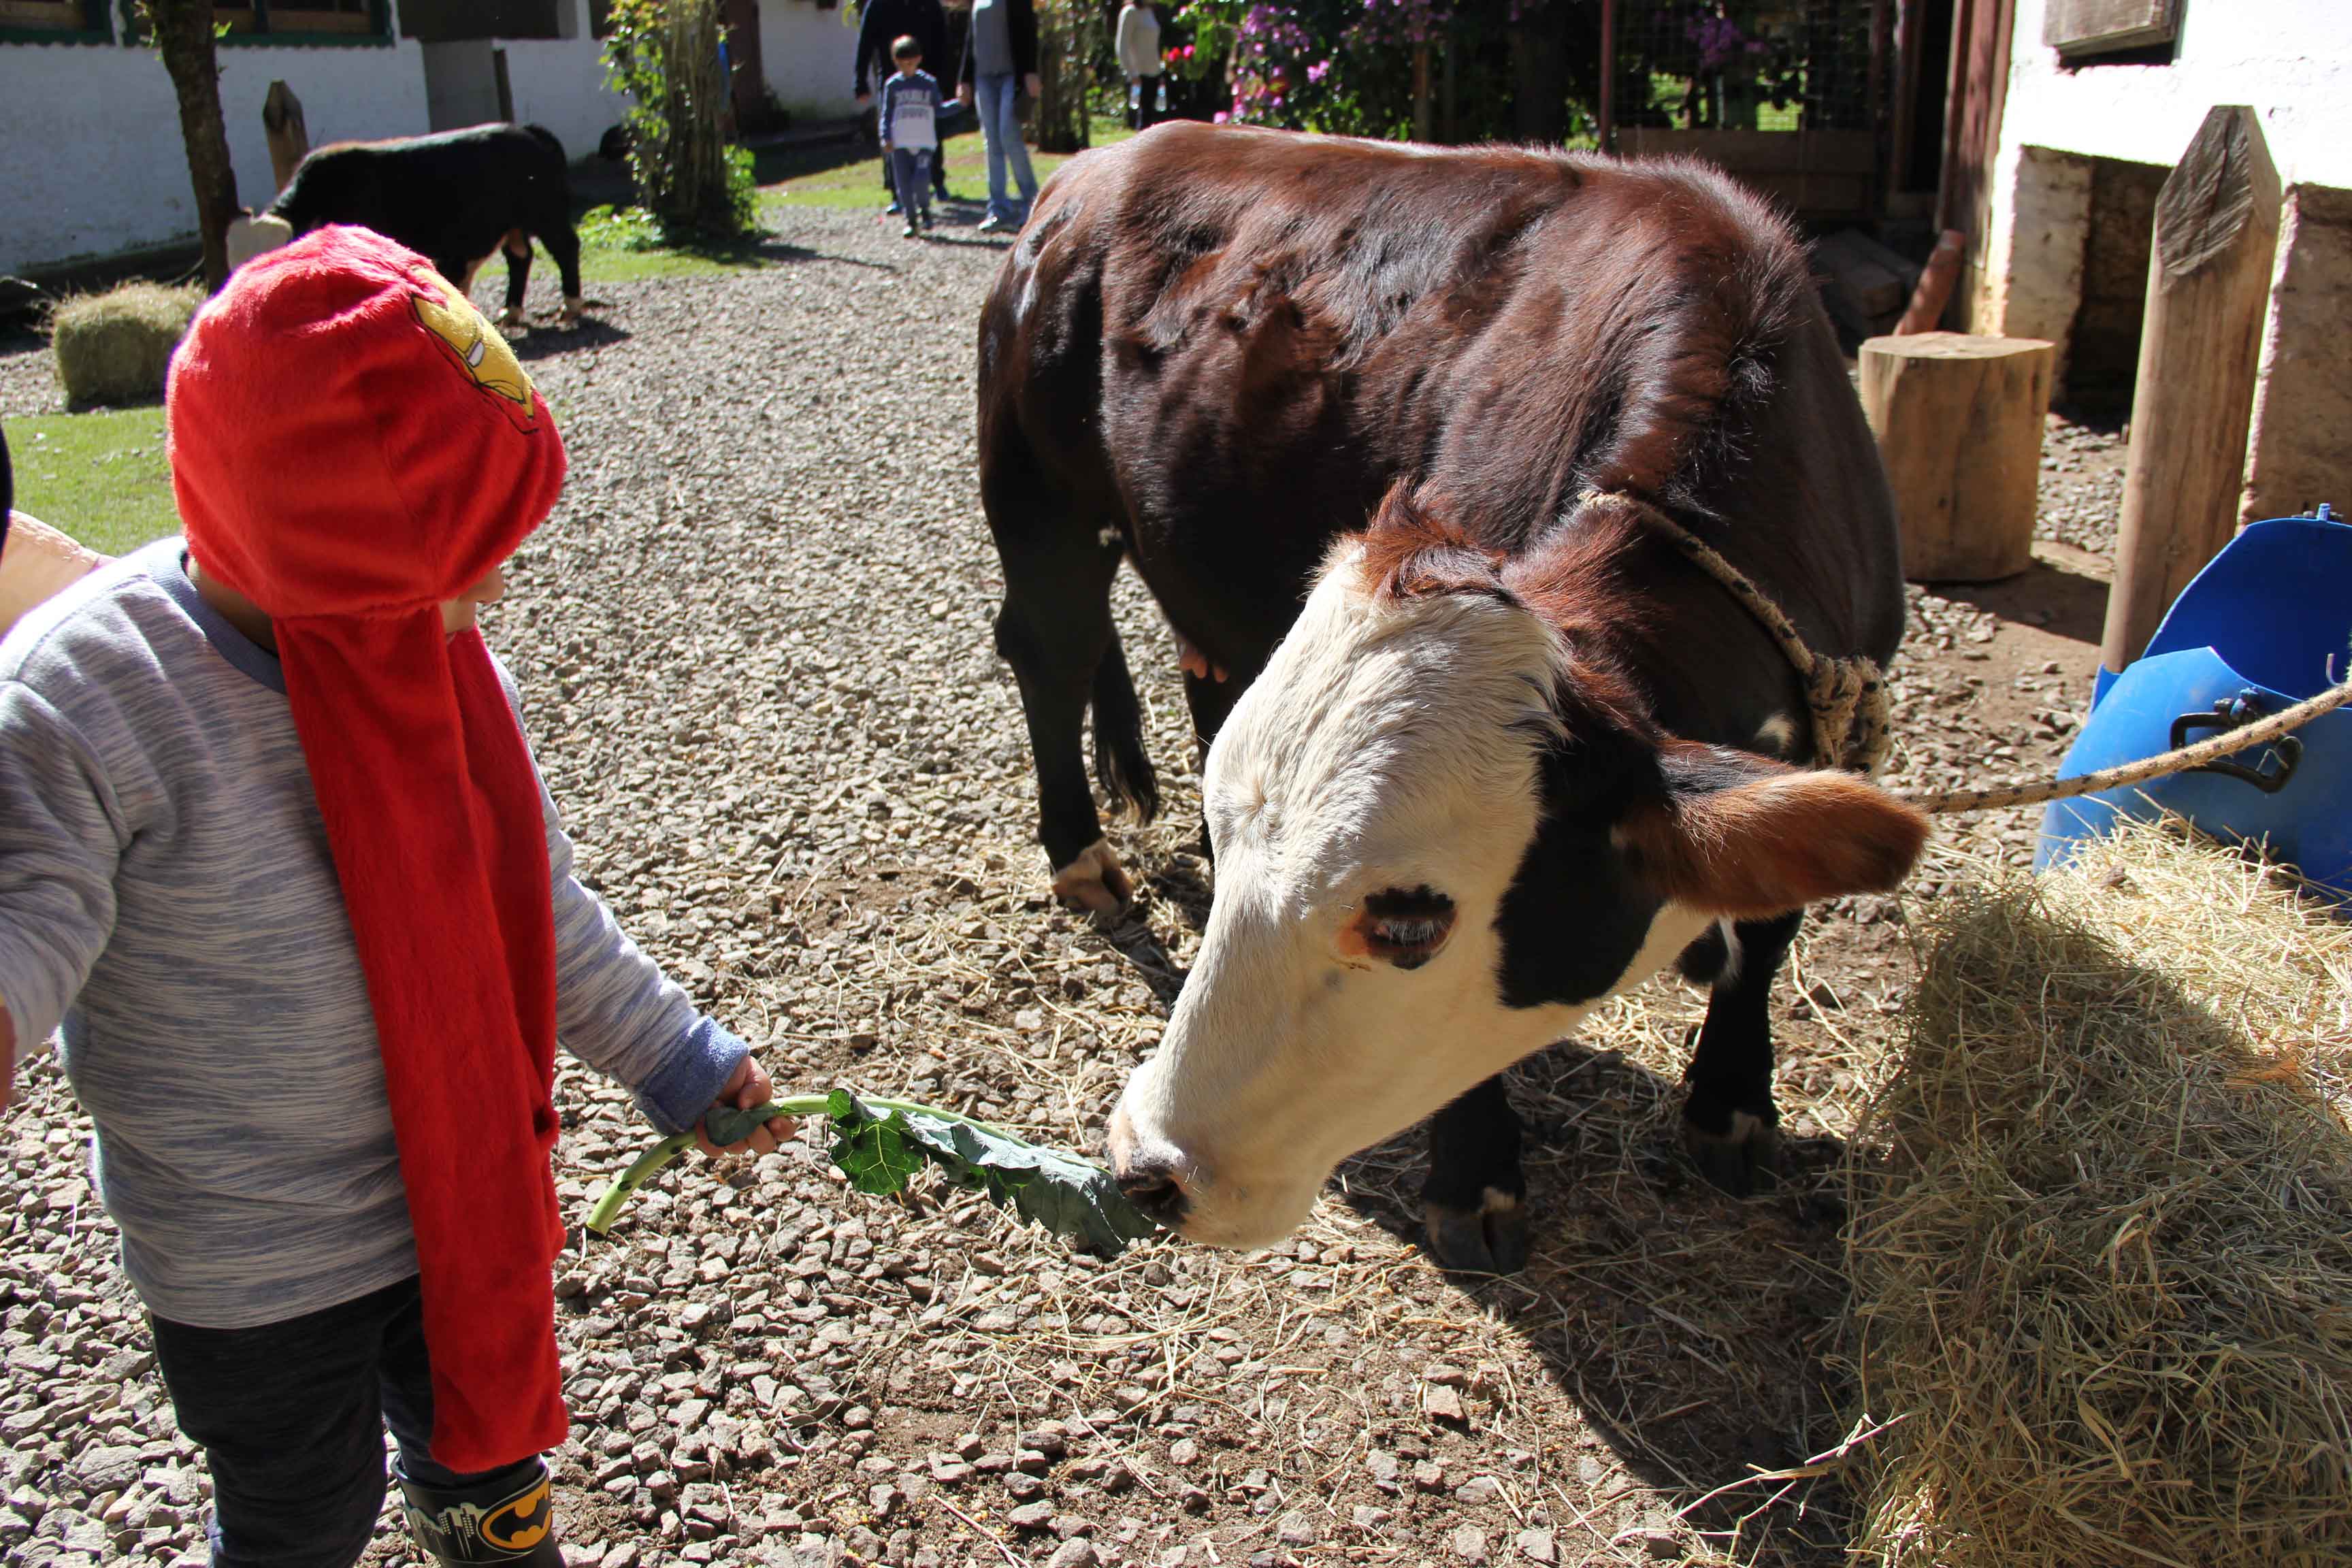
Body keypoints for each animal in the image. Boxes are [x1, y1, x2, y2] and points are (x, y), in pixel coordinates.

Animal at [983, 125, 1919, 1279]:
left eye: (1411, 925)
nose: (1144, 1165)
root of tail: (1096, 164)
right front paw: (1474, 1181)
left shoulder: (1828, 732)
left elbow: (1772, 928)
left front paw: (1733, 1103)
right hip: (1040, 500)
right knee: (1045, 649)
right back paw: (1079, 855)